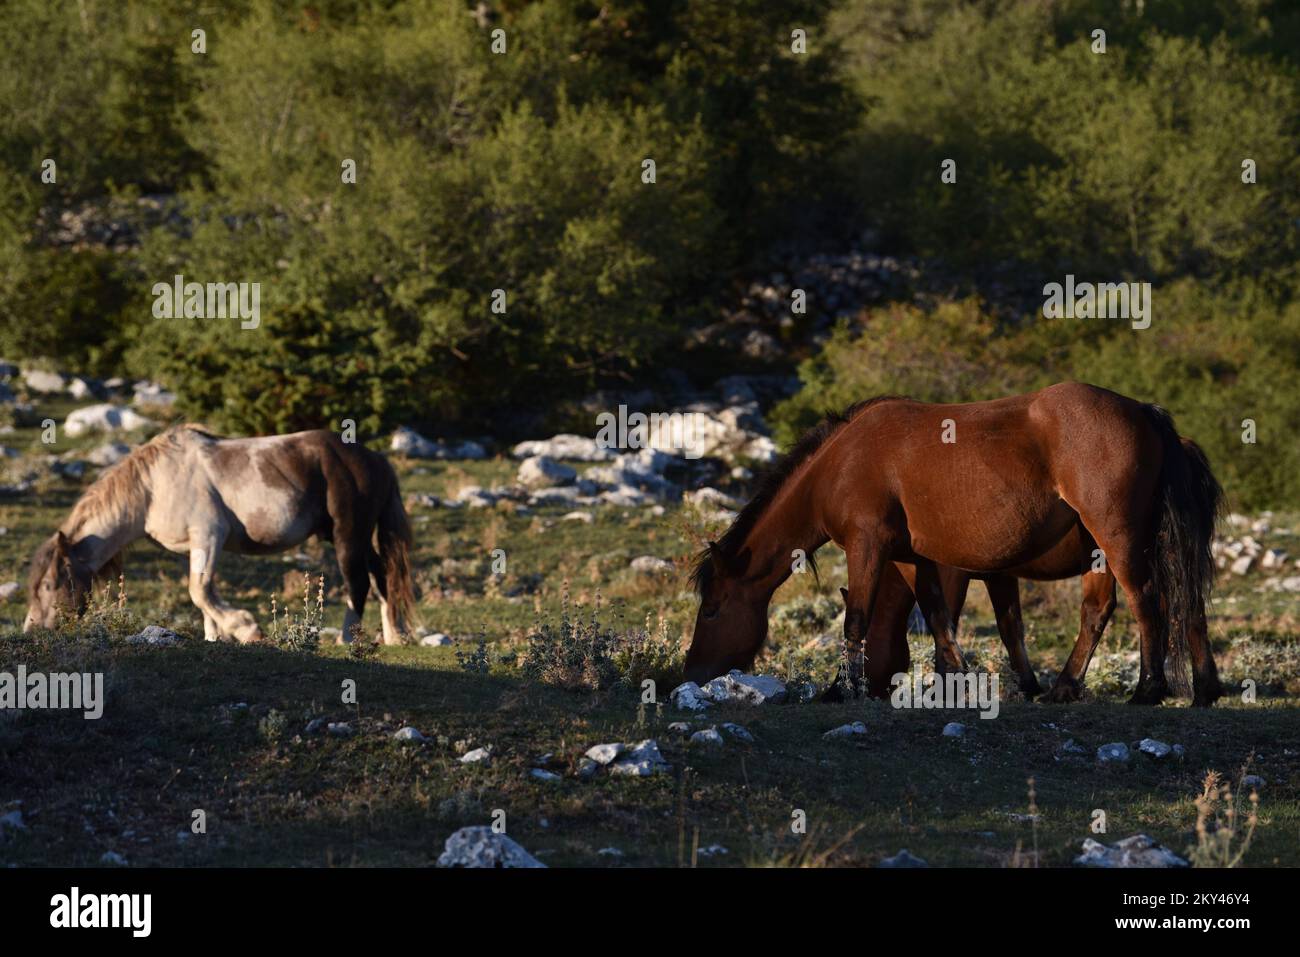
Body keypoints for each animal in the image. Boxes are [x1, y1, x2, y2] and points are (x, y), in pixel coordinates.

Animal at [25, 423, 413, 642]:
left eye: (49, 585)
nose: (32, 631)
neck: (153, 486)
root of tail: (376, 459)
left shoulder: (209, 536)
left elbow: (199, 591)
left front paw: (246, 629)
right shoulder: (195, 546)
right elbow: (203, 596)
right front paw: (217, 637)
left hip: (349, 536)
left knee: (358, 583)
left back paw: (347, 639)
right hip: (350, 537)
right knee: (382, 575)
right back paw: (394, 636)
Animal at [686, 384, 1222, 707]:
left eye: (711, 610)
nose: (689, 674)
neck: (839, 465)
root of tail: (1146, 414)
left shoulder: (868, 546)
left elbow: (857, 618)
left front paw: (840, 689)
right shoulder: (916, 557)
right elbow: (940, 615)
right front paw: (952, 681)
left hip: (1118, 537)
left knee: (1147, 601)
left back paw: (1148, 689)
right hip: (1106, 549)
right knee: (1152, 608)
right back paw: (1191, 689)